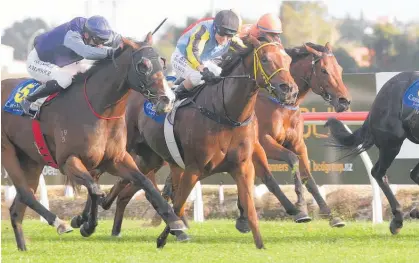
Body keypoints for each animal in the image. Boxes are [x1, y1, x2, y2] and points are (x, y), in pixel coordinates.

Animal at [0, 33, 187, 252]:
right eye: (143, 65)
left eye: (162, 63)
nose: (168, 99)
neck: (99, 110)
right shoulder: (68, 161)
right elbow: (95, 190)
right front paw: (86, 225)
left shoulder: (116, 159)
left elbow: (145, 183)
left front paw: (176, 223)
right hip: (7, 151)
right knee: (25, 193)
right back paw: (60, 223)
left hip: (31, 160)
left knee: (17, 207)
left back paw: (23, 247)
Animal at [100, 41, 352, 239]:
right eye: (324, 70)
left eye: (339, 68)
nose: (344, 101)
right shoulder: (262, 143)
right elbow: (278, 171)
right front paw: (298, 208)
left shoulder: (296, 144)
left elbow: (308, 176)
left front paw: (331, 216)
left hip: (154, 156)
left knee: (135, 184)